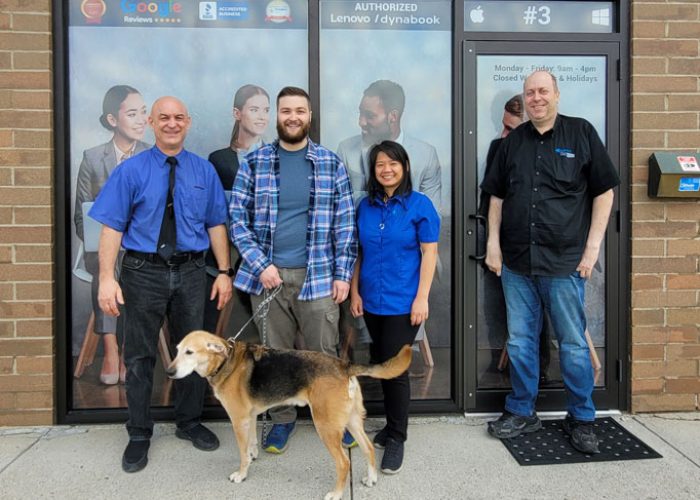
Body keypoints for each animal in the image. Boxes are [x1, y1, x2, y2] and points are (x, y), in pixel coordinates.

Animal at [167, 330, 412, 498]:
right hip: (352, 420)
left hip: (326, 426)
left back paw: (336, 493)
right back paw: (371, 479)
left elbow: (242, 452)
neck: (225, 361)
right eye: (177, 350)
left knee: (344, 463)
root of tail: (344, 365)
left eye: (189, 352)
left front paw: (242, 473)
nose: (169, 372)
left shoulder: (238, 420)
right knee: (368, 448)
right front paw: (253, 455)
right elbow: (251, 444)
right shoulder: (251, 416)